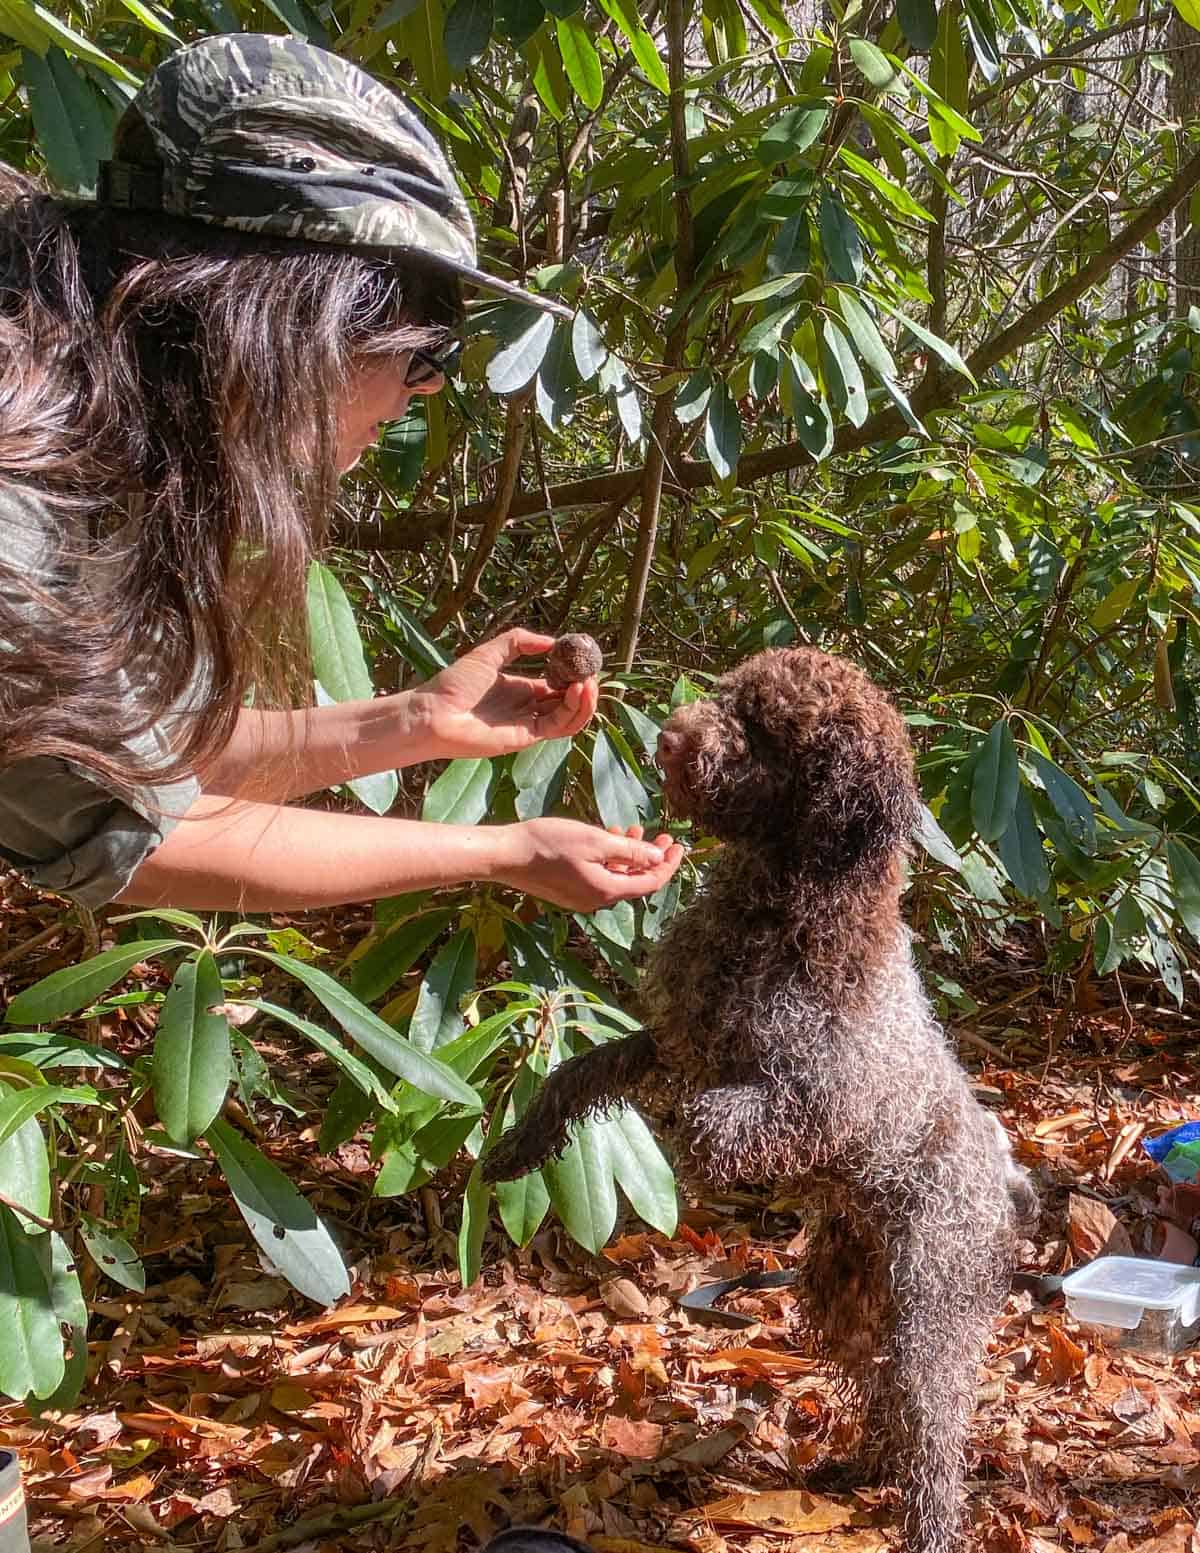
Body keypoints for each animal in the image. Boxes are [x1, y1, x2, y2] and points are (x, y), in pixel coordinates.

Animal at [481, 646, 1036, 1553]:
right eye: (733, 697)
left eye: (774, 735)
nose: (671, 737)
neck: (778, 909)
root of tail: (1007, 1172)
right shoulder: (674, 1038)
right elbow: (580, 1070)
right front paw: (520, 1143)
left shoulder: (814, 1102)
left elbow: (713, 1116)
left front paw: (692, 1153)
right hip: (851, 1283)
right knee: (882, 1386)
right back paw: (864, 1464)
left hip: (935, 1294)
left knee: (934, 1422)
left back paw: (927, 1521)